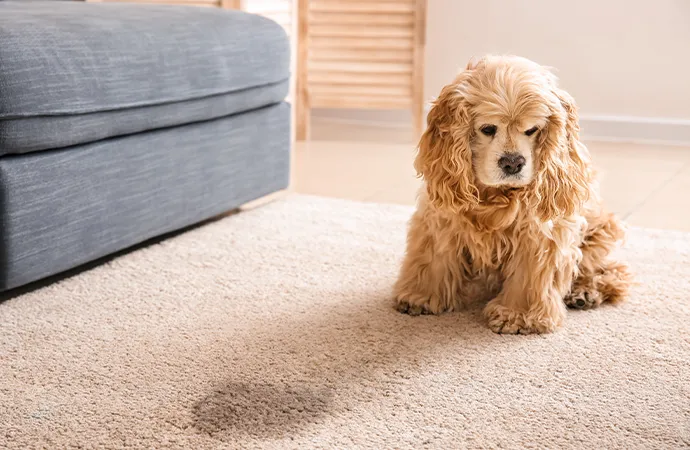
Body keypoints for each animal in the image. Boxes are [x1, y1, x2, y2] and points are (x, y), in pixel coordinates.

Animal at [392, 54, 628, 334]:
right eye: (488, 129)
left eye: (532, 129)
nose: (513, 163)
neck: (495, 195)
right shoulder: (441, 217)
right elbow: (433, 258)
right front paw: (420, 296)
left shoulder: (540, 233)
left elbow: (529, 275)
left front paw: (517, 315)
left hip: (600, 231)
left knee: (611, 270)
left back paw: (584, 292)